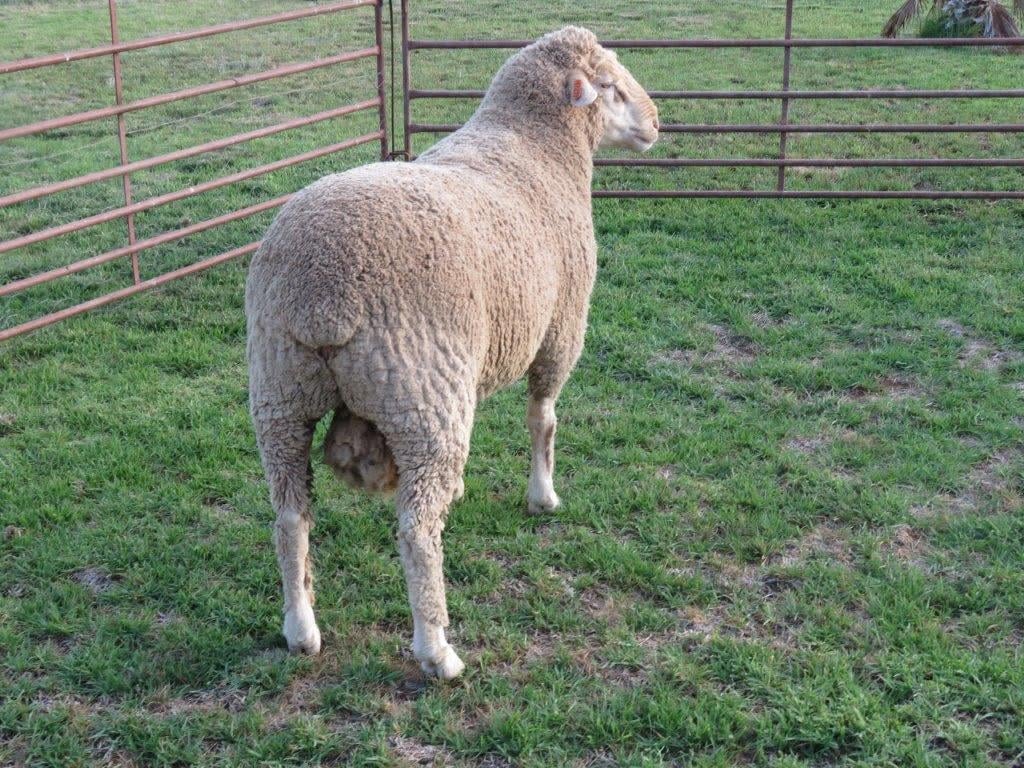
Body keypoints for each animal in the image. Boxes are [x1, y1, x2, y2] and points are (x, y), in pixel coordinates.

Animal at [245, 25, 659, 679]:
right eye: (611, 86)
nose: (656, 122)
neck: (536, 145)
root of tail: (320, 297)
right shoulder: (561, 328)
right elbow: (543, 420)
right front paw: (543, 496)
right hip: (423, 395)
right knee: (416, 530)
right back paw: (436, 648)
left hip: (279, 397)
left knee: (290, 517)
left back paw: (300, 627)